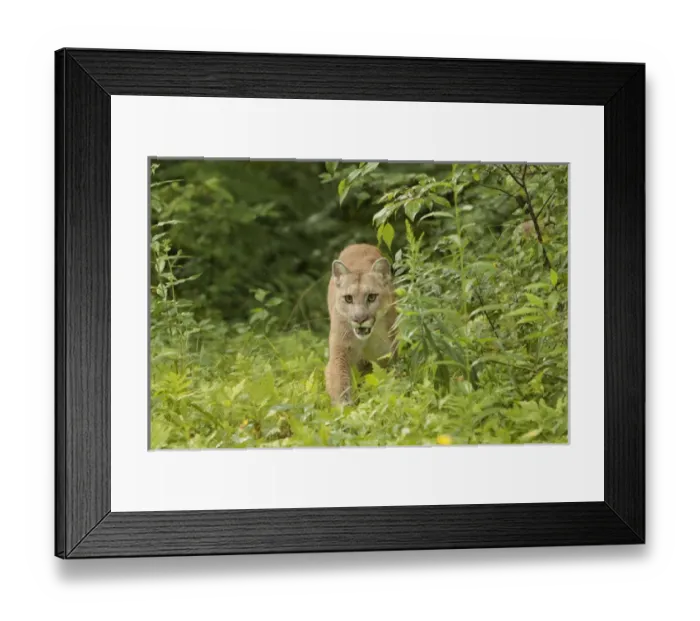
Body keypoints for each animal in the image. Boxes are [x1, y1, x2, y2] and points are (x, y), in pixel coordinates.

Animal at [324, 244, 397, 405]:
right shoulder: (340, 351)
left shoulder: (386, 353)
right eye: (348, 298)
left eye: (371, 297)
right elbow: (339, 381)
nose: (359, 319)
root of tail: (358, 244)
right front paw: (345, 408)